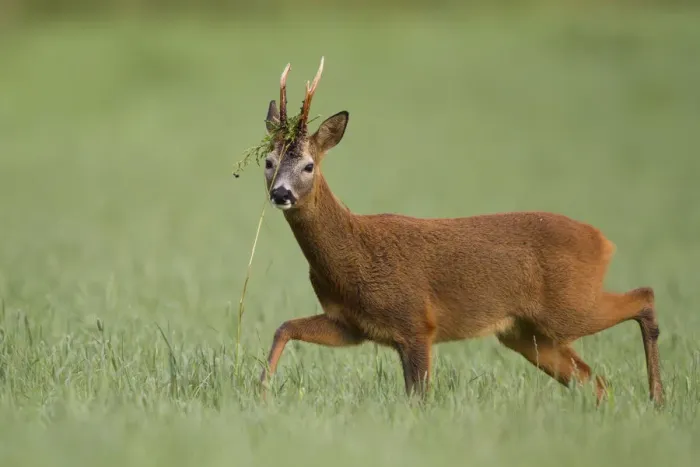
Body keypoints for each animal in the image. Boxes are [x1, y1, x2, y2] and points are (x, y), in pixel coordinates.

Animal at [257, 57, 664, 406]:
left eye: (309, 166)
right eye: (269, 161)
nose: (281, 194)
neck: (353, 253)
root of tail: (603, 241)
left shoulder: (416, 321)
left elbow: (419, 399)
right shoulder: (350, 325)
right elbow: (284, 327)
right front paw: (261, 390)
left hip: (568, 306)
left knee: (643, 296)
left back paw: (658, 398)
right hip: (526, 333)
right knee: (596, 383)